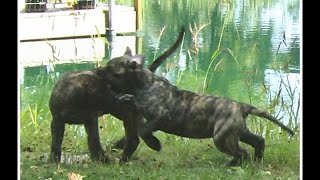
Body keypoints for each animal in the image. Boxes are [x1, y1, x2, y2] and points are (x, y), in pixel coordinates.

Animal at [48, 27, 185, 163]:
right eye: (109, 88)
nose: (126, 96)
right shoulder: (59, 120)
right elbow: (58, 142)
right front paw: (54, 160)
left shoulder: (91, 120)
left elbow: (93, 141)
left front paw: (101, 158)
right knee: (140, 130)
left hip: (124, 113)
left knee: (135, 136)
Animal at [103, 47, 296, 167]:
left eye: (113, 72)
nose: (100, 74)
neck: (144, 83)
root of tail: (242, 106)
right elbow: (137, 120)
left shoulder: (160, 117)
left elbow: (143, 130)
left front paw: (155, 145)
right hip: (238, 132)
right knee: (258, 141)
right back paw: (257, 159)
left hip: (222, 137)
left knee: (242, 153)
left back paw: (232, 164)